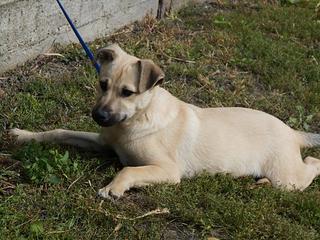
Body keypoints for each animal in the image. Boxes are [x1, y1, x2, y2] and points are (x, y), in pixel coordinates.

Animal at [10, 43, 320, 199]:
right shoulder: (101, 141)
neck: (136, 120)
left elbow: (128, 170)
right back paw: (261, 182)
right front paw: (23, 134)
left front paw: (113, 188)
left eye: (127, 92)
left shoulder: (168, 170)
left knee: (311, 165)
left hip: (287, 177)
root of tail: (292, 132)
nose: (98, 116)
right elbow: (59, 131)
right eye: (102, 84)